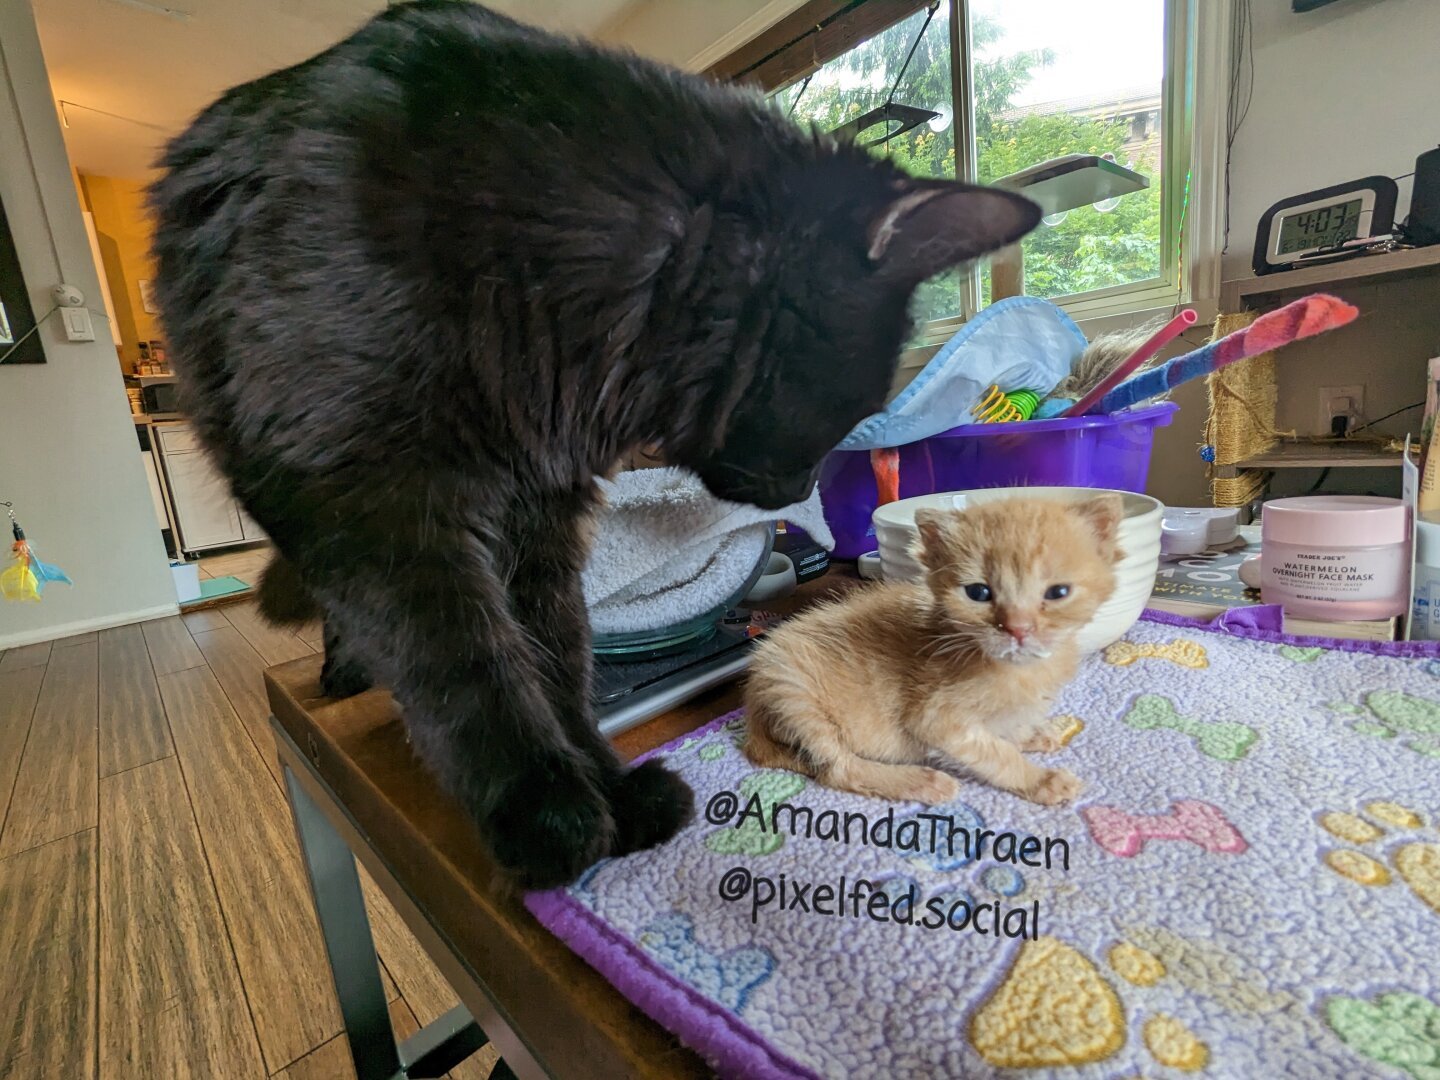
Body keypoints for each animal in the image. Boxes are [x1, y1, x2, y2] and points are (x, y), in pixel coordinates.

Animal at [149, 0, 1036, 887]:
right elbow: (465, 667)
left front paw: (610, 788)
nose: (796, 494)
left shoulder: (540, 512)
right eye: (846, 410)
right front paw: (545, 811)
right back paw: (347, 670)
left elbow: (554, 661)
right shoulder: (367, 496)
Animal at [743, 498, 1123, 806]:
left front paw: (1030, 733)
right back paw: (922, 782)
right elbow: (996, 754)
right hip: (795, 693)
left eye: (1058, 592)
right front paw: (1040, 780)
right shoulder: (936, 719)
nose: (1018, 629)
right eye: (978, 592)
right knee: (837, 769)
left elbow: (1008, 728)